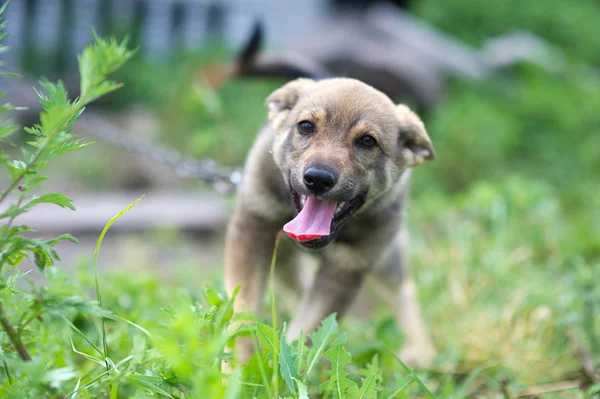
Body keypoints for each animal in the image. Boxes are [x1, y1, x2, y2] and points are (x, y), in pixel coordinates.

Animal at [225, 76, 436, 368]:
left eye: (367, 141)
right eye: (305, 126)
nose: (318, 179)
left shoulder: (347, 268)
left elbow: (309, 329)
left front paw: (291, 368)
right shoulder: (252, 231)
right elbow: (244, 315)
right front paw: (240, 369)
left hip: (384, 254)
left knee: (403, 287)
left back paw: (420, 350)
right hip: (283, 261)